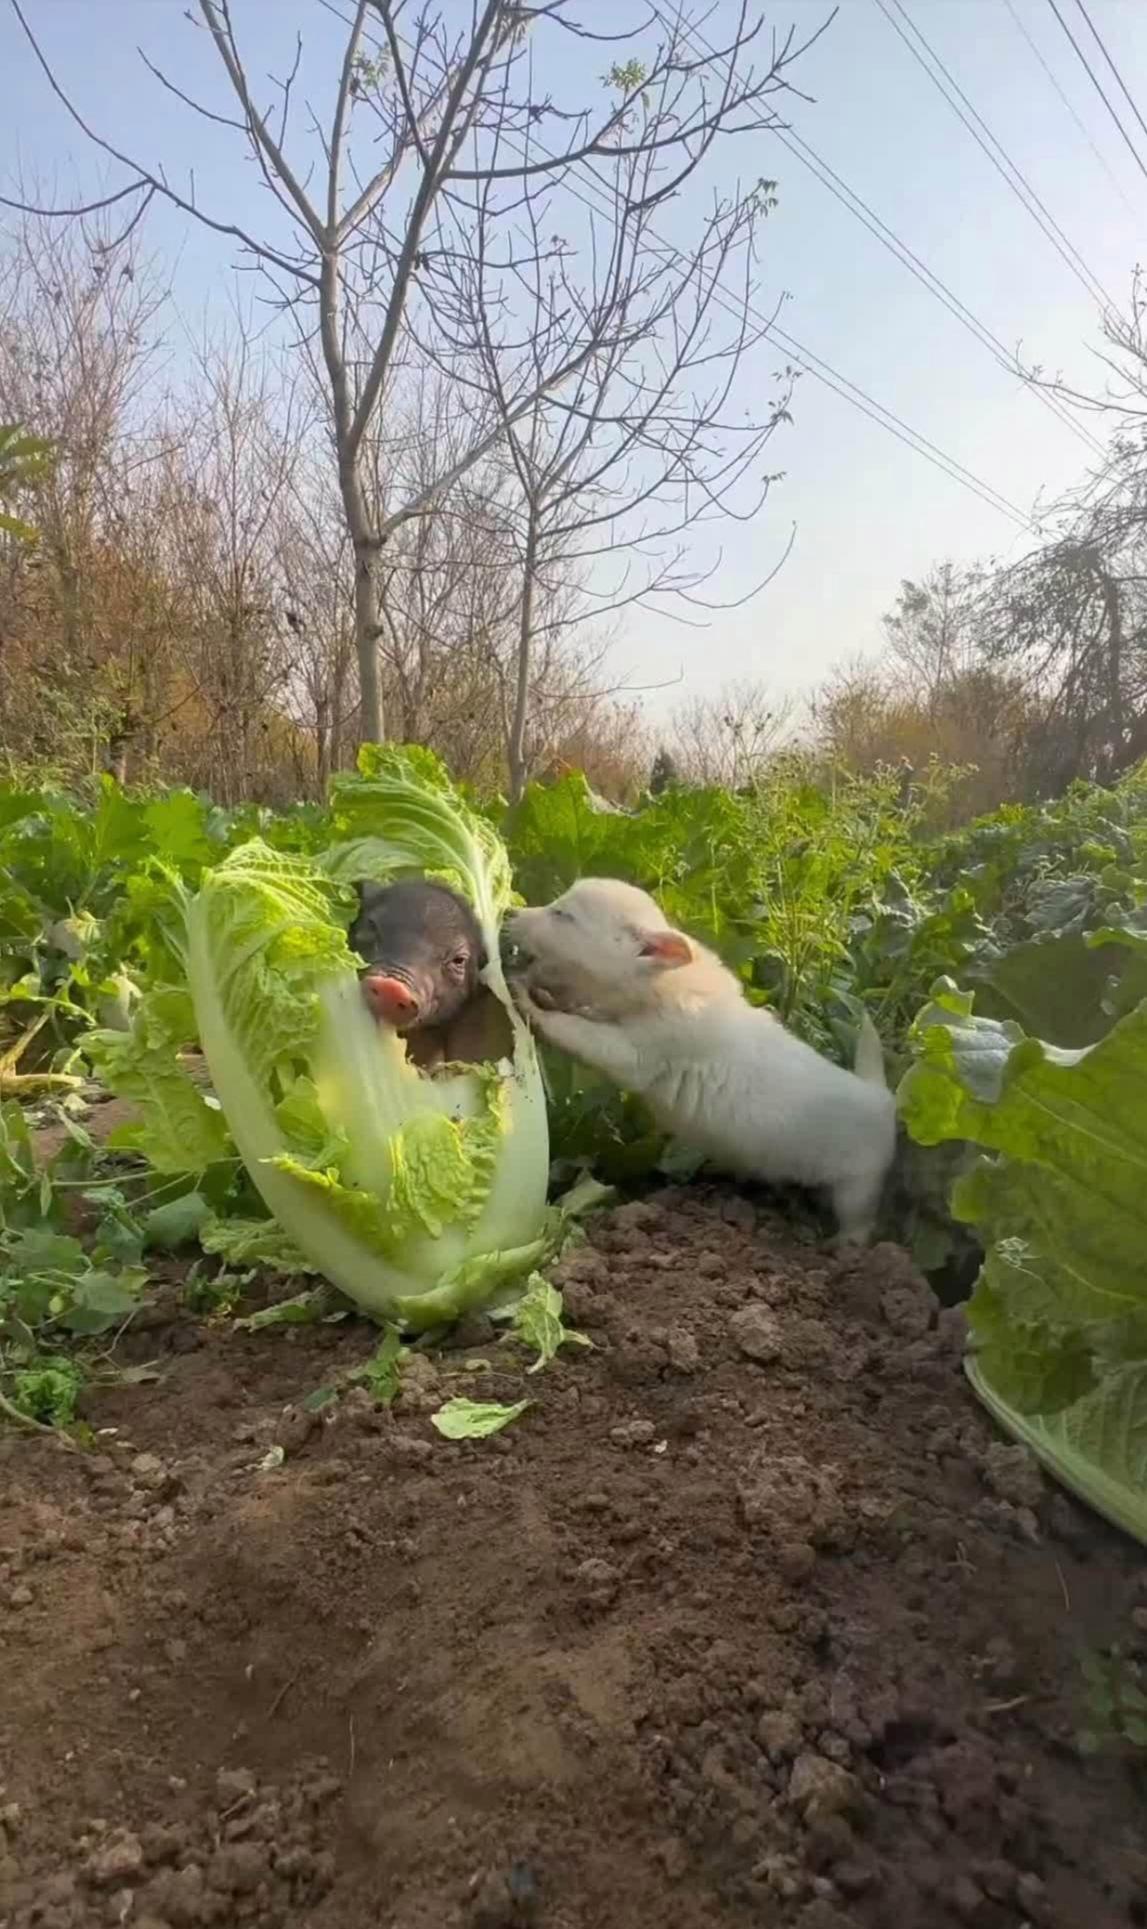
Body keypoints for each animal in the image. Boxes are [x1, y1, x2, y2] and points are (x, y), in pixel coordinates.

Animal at [508, 879, 898, 1242]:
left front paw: (526, 998)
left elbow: (576, 1032)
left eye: (563, 915)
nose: (509, 913)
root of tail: (880, 1096)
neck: (663, 981)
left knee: (860, 1221)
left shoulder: (635, 1053)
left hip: (858, 1185)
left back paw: (844, 1246)